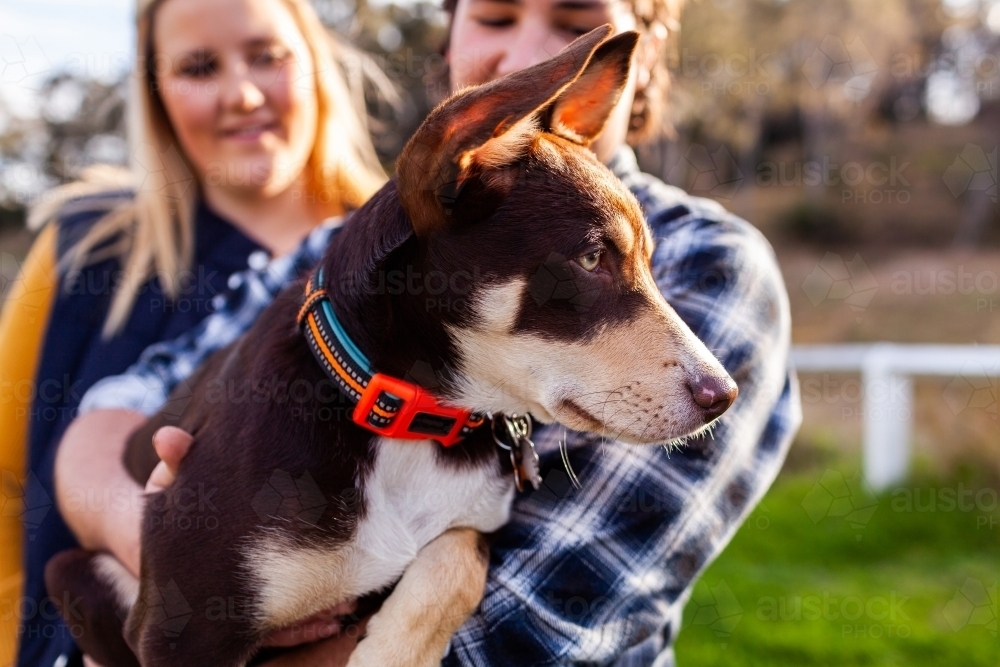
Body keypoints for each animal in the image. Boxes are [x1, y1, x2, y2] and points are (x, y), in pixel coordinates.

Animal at [45, 26, 736, 667]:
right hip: (73, 570)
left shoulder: (469, 527)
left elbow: (461, 552)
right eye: (592, 259)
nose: (725, 395)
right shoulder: (184, 627)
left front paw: (396, 650)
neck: (410, 415)